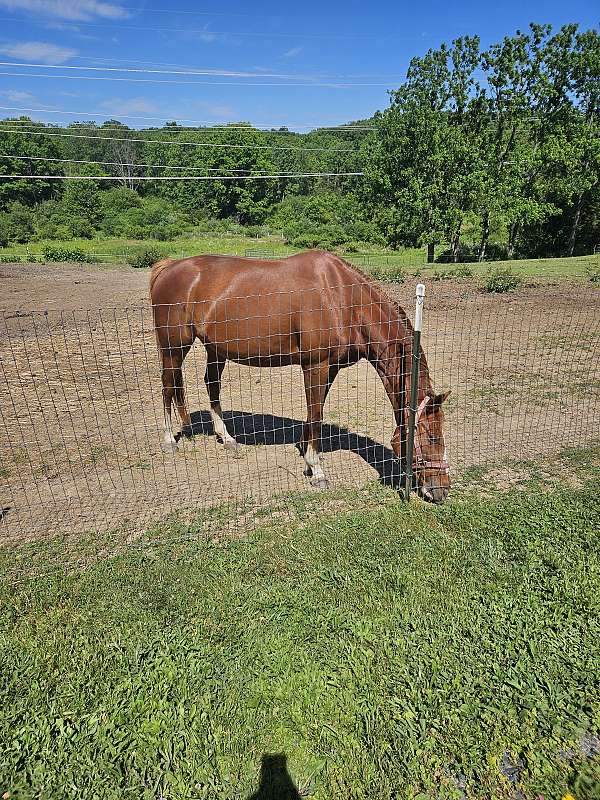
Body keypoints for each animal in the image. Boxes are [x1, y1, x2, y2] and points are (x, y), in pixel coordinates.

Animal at [150, 250, 450, 503]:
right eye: (432, 437)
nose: (442, 490)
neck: (343, 298)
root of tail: (169, 267)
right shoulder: (316, 366)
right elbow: (316, 414)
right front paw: (317, 472)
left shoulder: (329, 369)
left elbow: (313, 412)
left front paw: (307, 457)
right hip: (173, 347)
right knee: (167, 387)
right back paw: (168, 441)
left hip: (214, 349)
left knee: (212, 385)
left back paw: (228, 439)